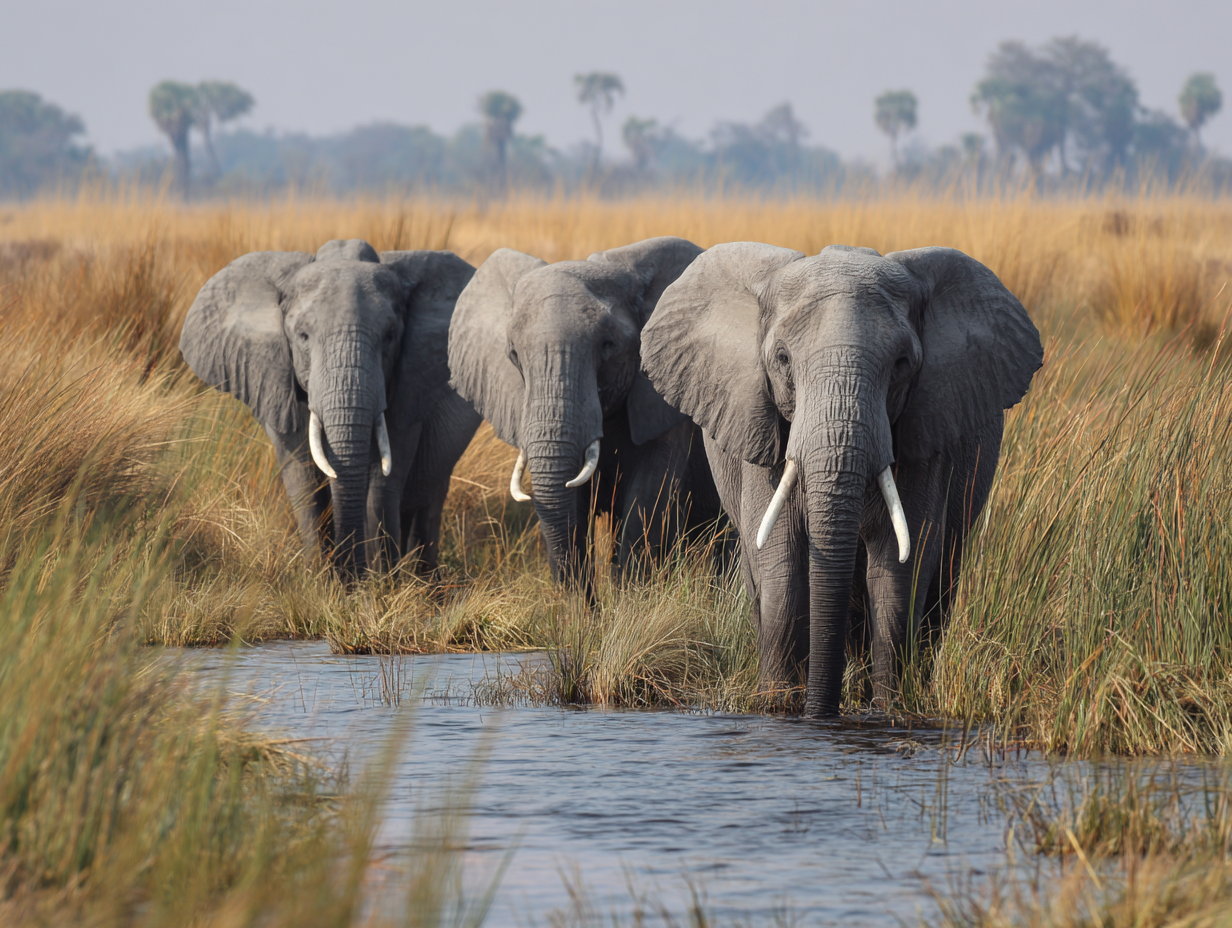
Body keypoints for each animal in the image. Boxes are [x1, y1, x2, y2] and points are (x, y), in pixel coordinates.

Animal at [180, 238, 481, 580]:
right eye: (302, 336)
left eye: (390, 336)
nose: (351, 575)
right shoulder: (278, 381)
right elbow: (303, 477)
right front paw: (320, 581)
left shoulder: (408, 384)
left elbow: (385, 474)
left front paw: (381, 584)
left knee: (428, 498)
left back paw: (425, 583)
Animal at [447, 236, 725, 597]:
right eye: (514, 355)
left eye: (608, 346)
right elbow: (573, 507)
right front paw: (579, 609)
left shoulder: (665, 404)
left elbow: (647, 497)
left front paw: (627, 603)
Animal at [641, 242, 1043, 716]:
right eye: (782, 359)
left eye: (902, 364)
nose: (821, 712)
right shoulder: (760, 430)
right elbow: (782, 566)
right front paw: (780, 708)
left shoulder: (924, 435)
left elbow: (899, 569)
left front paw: (889, 710)